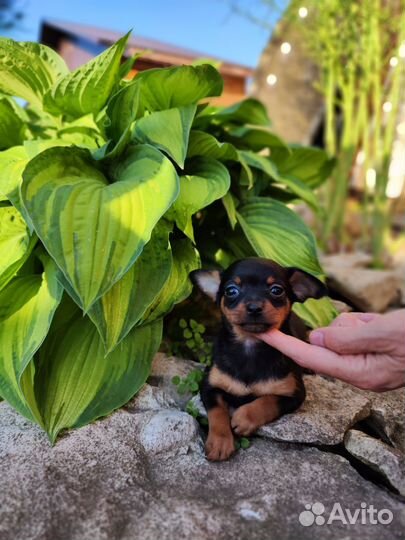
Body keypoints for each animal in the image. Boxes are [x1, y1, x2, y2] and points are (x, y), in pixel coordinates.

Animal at [189, 258, 326, 460]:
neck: (250, 345)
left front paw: (243, 418)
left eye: (277, 290)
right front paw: (220, 442)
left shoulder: (294, 394)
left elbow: (267, 401)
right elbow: (217, 412)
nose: (254, 307)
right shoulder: (209, 386)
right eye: (231, 291)